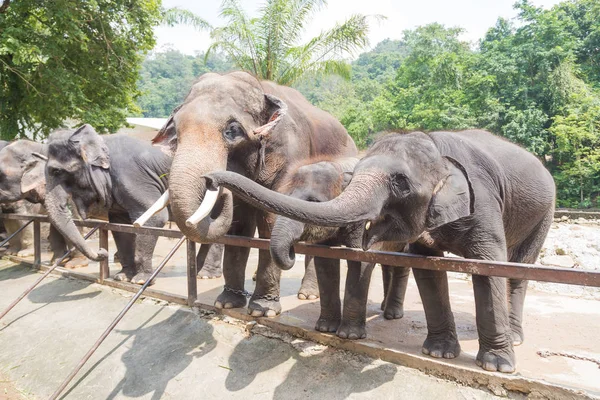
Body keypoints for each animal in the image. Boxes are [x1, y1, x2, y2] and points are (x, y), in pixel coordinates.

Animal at [37, 125, 225, 284]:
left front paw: (140, 281)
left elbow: (155, 218)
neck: (100, 139)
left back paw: (206, 275)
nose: (102, 252)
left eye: (56, 171)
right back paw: (200, 271)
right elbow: (120, 226)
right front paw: (122, 277)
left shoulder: (133, 176)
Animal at [152, 71, 358, 316]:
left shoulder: (289, 155)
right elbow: (240, 226)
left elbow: (271, 221)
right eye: (175, 131)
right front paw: (227, 303)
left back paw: (307, 294)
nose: (213, 181)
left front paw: (262, 310)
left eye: (232, 131)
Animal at [204, 130, 556, 374]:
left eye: (401, 183)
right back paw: (389, 313)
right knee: (397, 265)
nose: (209, 179)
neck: (436, 149)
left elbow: (487, 266)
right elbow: (421, 267)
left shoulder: (482, 203)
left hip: (545, 212)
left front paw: (496, 366)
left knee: (519, 269)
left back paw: (514, 338)